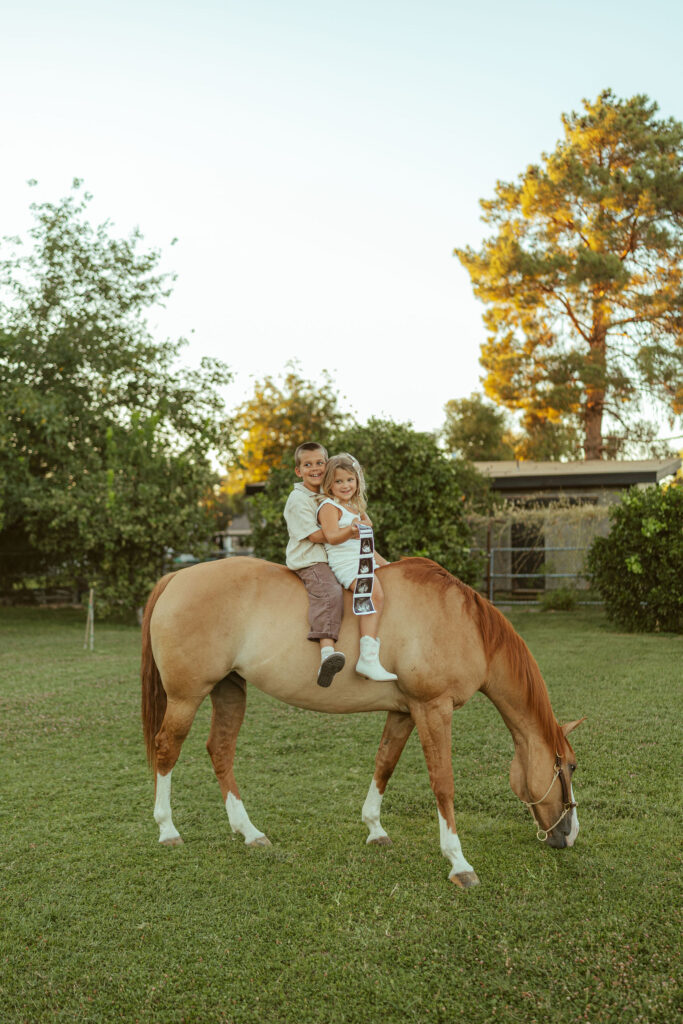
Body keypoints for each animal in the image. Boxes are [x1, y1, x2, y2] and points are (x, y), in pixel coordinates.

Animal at [141, 556, 583, 888]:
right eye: (571, 766)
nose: (570, 834)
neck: (462, 622)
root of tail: (177, 577)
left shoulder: (405, 712)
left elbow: (384, 764)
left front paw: (374, 828)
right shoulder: (433, 709)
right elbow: (443, 783)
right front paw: (458, 862)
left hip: (229, 689)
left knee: (220, 751)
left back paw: (248, 832)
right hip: (186, 697)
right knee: (167, 749)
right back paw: (167, 830)